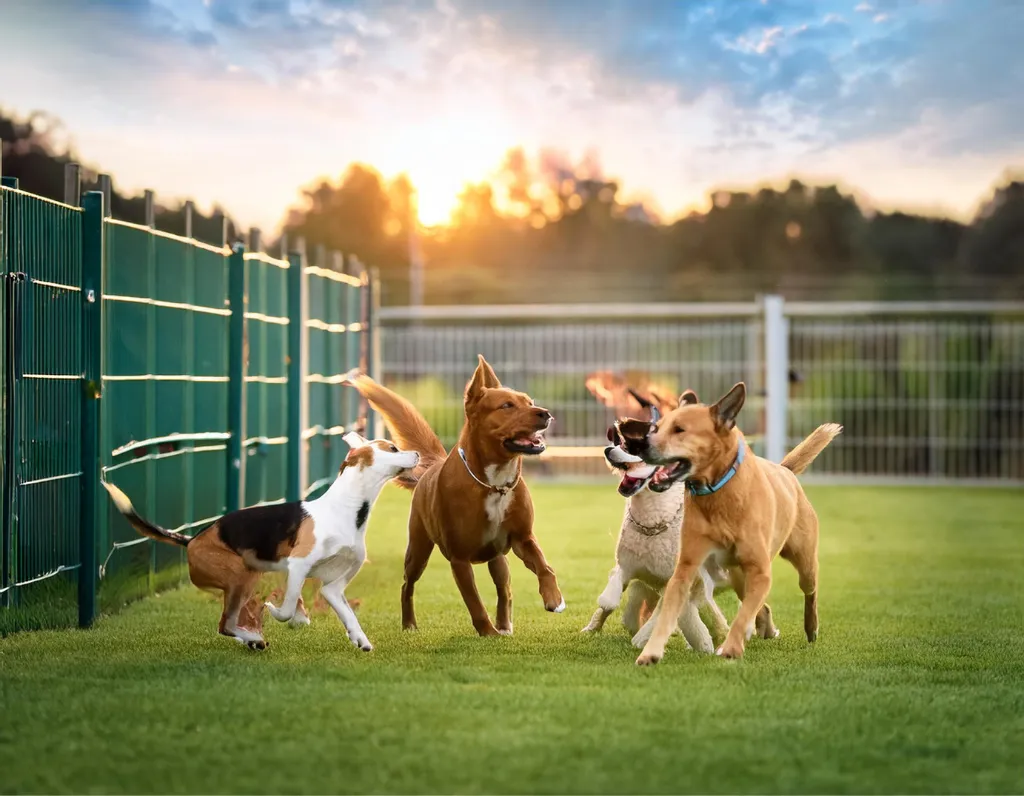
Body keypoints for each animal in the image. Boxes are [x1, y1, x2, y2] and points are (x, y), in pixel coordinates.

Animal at [101, 434, 417, 651]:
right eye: (392, 448)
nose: (415, 452)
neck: (348, 509)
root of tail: (192, 539)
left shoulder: (334, 586)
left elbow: (348, 616)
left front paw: (359, 639)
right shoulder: (298, 565)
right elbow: (287, 608)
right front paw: (283, 613)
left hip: (246, 578)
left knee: (230, 621)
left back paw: (250, 639)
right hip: (239, 576)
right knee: (224, 625)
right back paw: (252, 637)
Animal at [630, 383, 839, 663]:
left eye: (679, 429)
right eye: (656, 428)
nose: (639, 445)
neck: (718, 493)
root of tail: (785, 470)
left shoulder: (760, 571)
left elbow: (742, 616)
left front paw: (730, 648)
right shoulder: (686, 567)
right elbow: (669, 612)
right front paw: (651, 652)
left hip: (802, 560)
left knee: (808, 590)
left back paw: (810, 627)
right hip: (738, 576)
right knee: (761, 606)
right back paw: (764, 628)